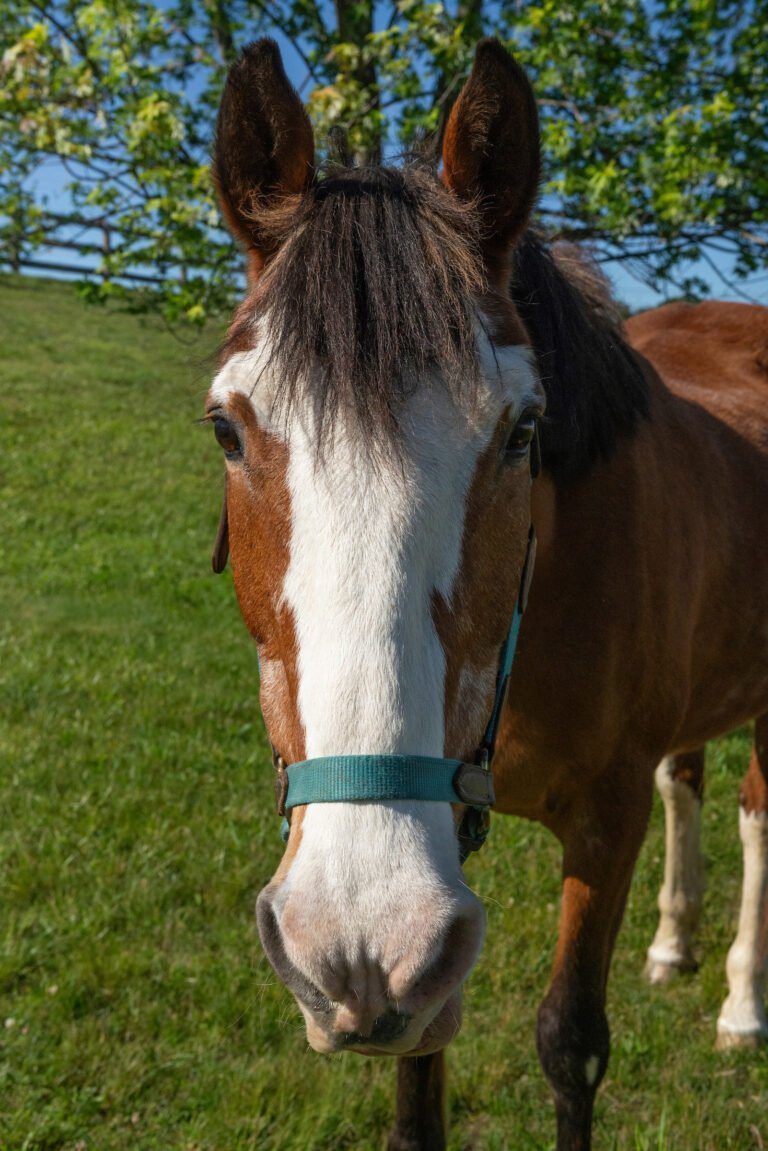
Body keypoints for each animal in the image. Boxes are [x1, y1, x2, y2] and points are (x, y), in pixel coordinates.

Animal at [203, 36, 768, 1151]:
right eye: (227, 428)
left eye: (521, 429)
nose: (354, 937)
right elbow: (418, 1092)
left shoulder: (605, 818)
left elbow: (570, 1042)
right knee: (691, 780)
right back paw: (674, 945)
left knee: (755, 814)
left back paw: (739, 1002)